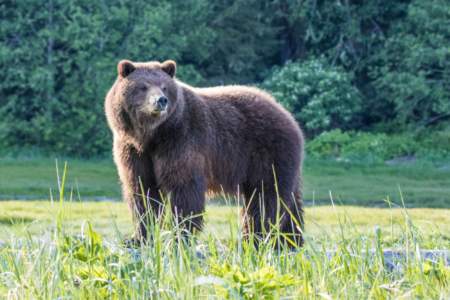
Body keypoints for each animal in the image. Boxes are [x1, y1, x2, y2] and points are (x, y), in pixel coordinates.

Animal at [104, 59, 306, 246]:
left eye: (164, 87)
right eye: (143, 86)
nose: (160, 100)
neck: (152, 135)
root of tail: (287, 114)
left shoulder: (181, 140)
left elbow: (184, 189)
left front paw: (180, 235)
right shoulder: (134, 150)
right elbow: (142, 191)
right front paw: (137, 238)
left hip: (267, 153)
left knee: (267, 196)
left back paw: (256, 238)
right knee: (290, 201)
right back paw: (290, 240)